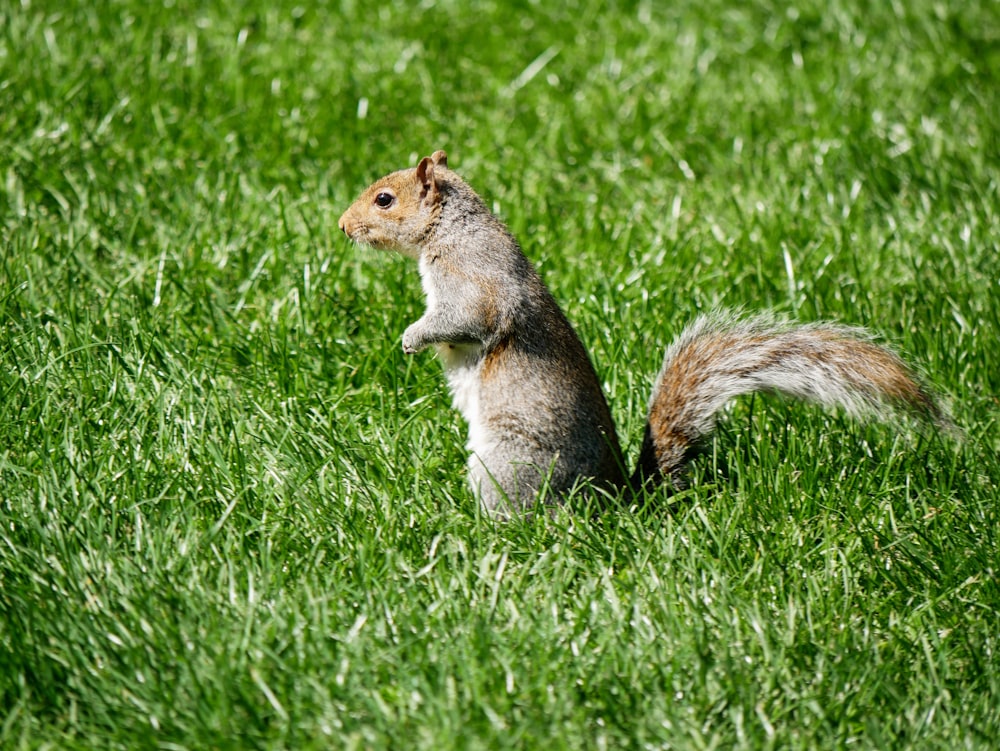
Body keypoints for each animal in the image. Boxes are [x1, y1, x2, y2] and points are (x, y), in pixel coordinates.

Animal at [340, 151, 948, 516]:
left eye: (385, 199)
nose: (344, 227)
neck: (451, 228)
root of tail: (618, 499)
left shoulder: (473, 279)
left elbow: (465, 318)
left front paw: (412, 338)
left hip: (509, 463)